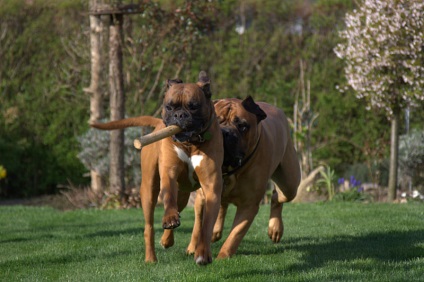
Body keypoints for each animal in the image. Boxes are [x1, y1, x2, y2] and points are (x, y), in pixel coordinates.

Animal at [91, 71, 224, 266]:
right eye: (169, 106)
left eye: (193, 106)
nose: (179, 115)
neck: (190, 143)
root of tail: (158, 124)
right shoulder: (168, 174)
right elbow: (168, 198)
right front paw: (169, 218)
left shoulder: (211, 187)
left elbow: (206, 225)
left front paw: (203, 253)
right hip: (148, 191)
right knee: (150, 226)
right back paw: (151, 257)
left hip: (183, 195)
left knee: (179, 210)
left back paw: (167, 239)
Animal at [186, 96, 302, 258]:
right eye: (215, 122)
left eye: (242, 126)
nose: (224, 132)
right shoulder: (203, 196)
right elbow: (198, 224)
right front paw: (194, 246)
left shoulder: (249, 205)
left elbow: (235, 234)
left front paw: (223, 257)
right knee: (222, 205)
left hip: (290, 184)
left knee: (276, 196)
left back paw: (275, 229)